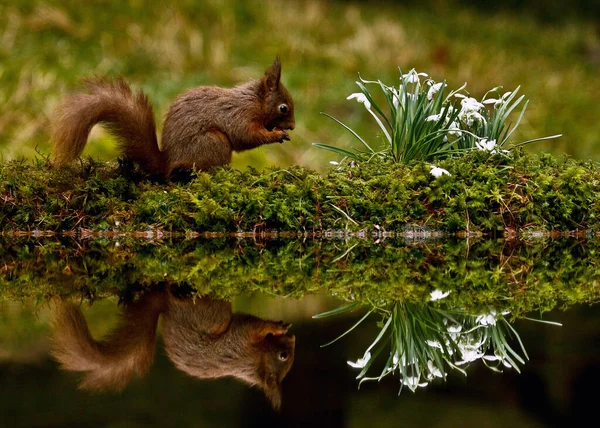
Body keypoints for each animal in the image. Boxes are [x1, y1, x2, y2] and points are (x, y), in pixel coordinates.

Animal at [51, 57, 296, 176]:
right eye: (283, 108)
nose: (293, 126)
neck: (255, 101)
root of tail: (167, 162)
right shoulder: (239, 114)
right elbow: (246, 136)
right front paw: (276, 135)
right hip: (214, 143)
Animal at [51, 290, 296, 410]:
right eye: (283, 356)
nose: (293, 338)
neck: (255, 363)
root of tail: (167, 309)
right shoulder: (241, 344)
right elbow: (254, 326)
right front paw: (275, 327)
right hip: (214, 315)